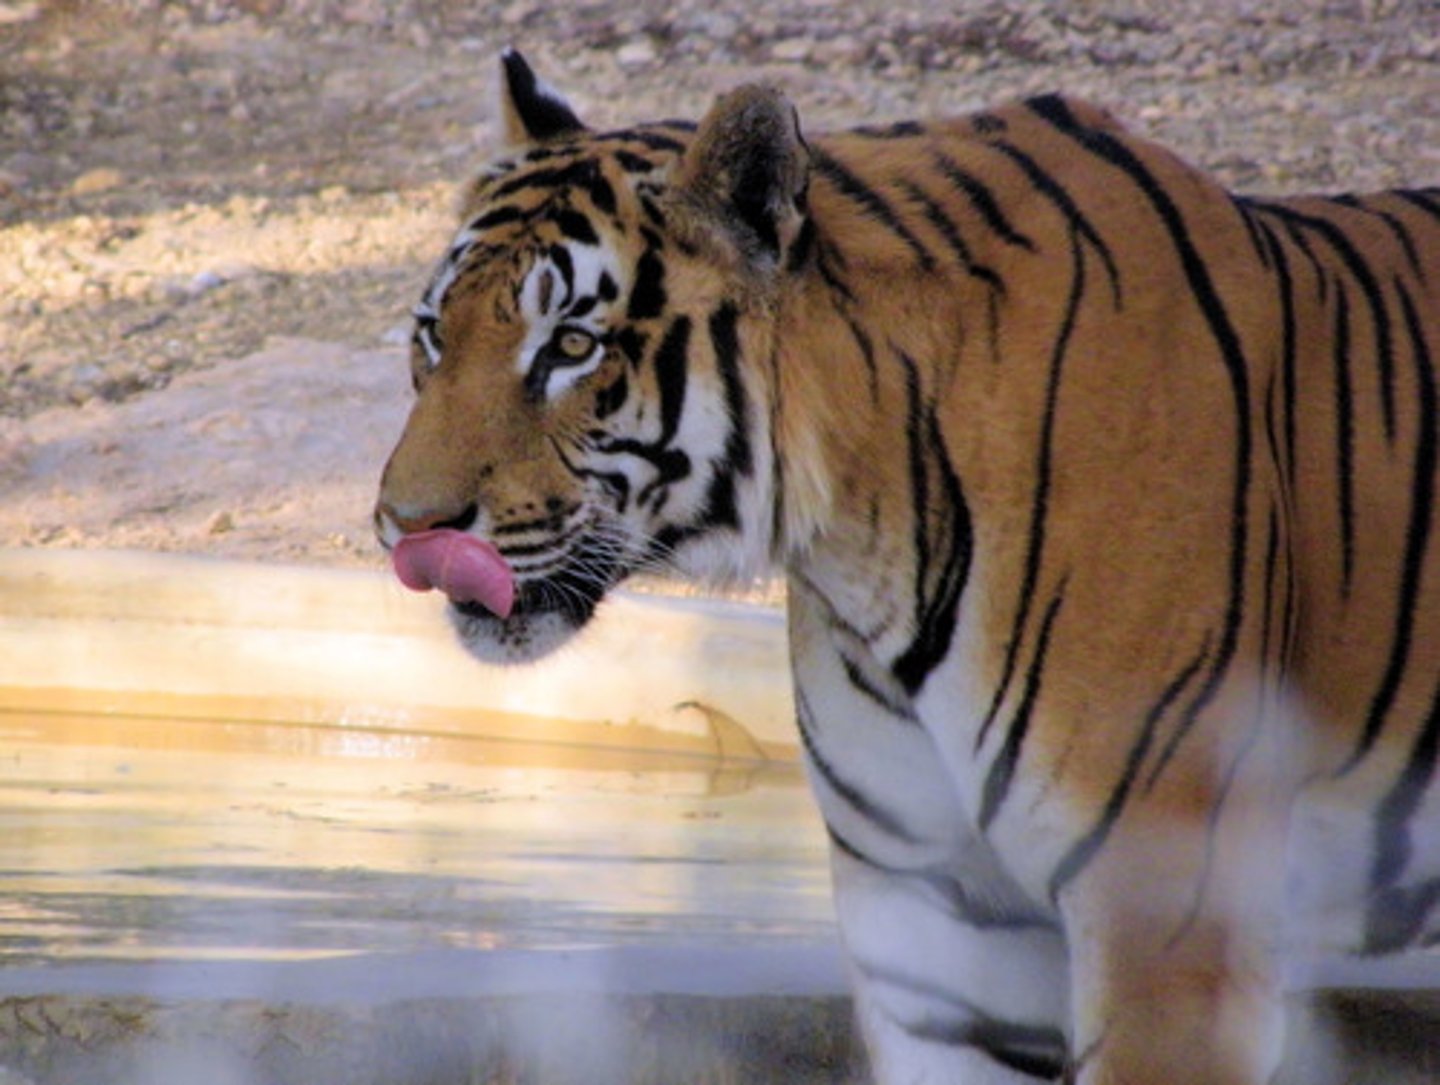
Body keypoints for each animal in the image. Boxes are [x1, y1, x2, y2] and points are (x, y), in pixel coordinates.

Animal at [374, 48, 1440, 1085]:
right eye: (433, 335)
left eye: (571, 346)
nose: (403, 528)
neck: (865, 542)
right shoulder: (942, 940)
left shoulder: (1167, 924)